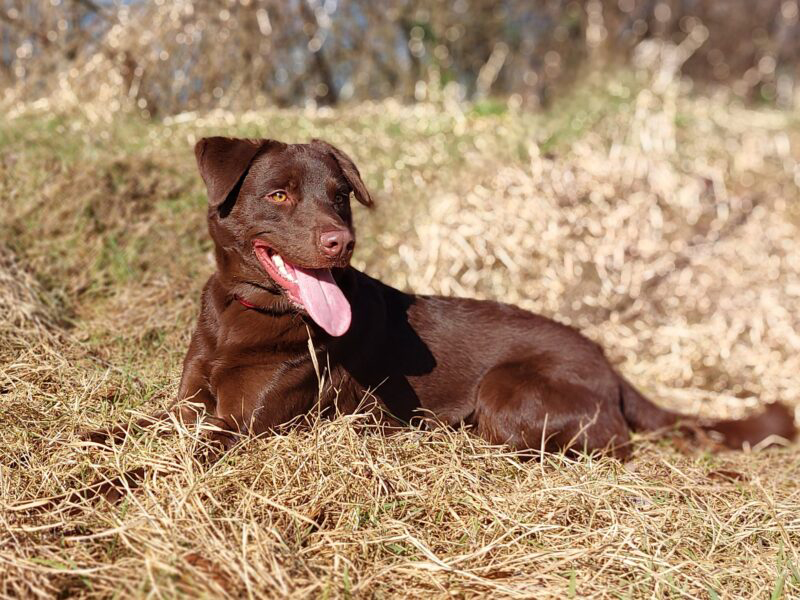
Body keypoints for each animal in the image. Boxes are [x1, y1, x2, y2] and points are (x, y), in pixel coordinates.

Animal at [96, 137, 796, 459]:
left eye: (341, 196)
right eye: (279, 194)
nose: (341, 241)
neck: (244, 316)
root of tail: (612, 367)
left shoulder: (240, 427)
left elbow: (165, 459)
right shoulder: (189, 404)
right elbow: (126, 430)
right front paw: (88, 448)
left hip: (507, 390)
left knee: (605, 444)